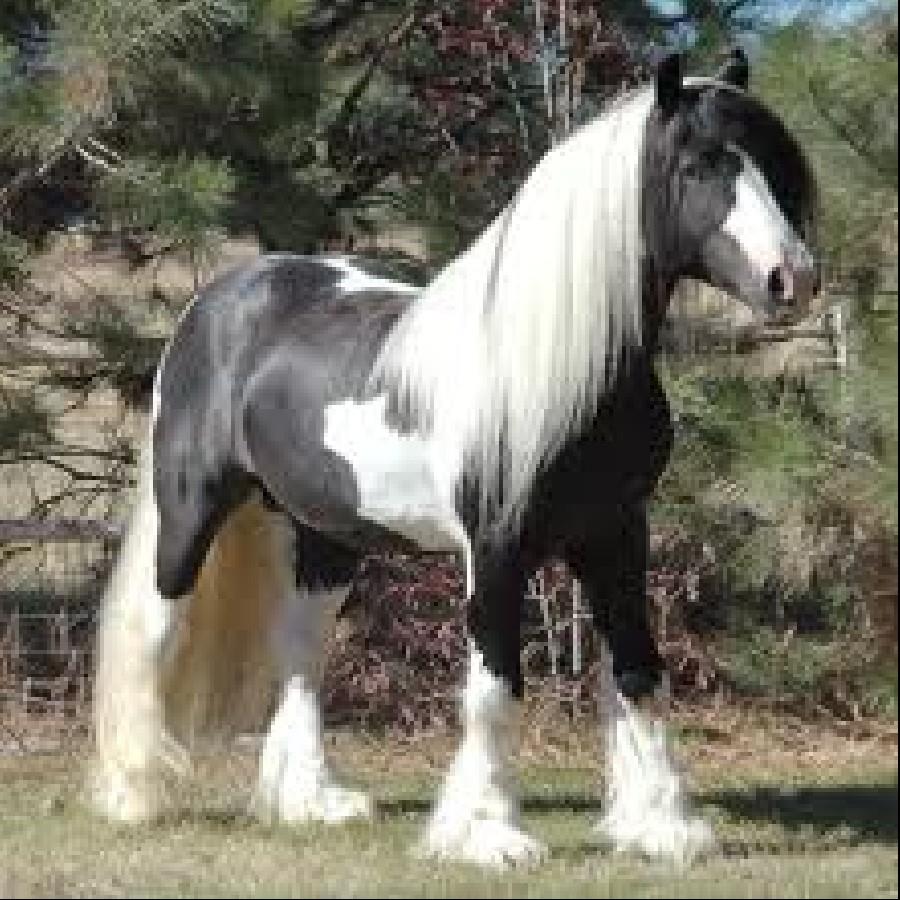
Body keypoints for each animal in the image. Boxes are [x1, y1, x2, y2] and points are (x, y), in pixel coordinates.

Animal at [90, 49, 819, 867]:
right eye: (697, 166)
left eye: (775, 166)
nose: (792, 279)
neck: (558, 368)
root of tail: (223, 296)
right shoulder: (497, 548)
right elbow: (495, 688)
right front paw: (487, 836)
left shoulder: (616, 534)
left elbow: (639, 670)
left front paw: (662, 828)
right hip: (190, 513)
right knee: (154, 629)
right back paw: (130, 796)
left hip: (326, 535)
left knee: (301, 651)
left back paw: (312, 802)